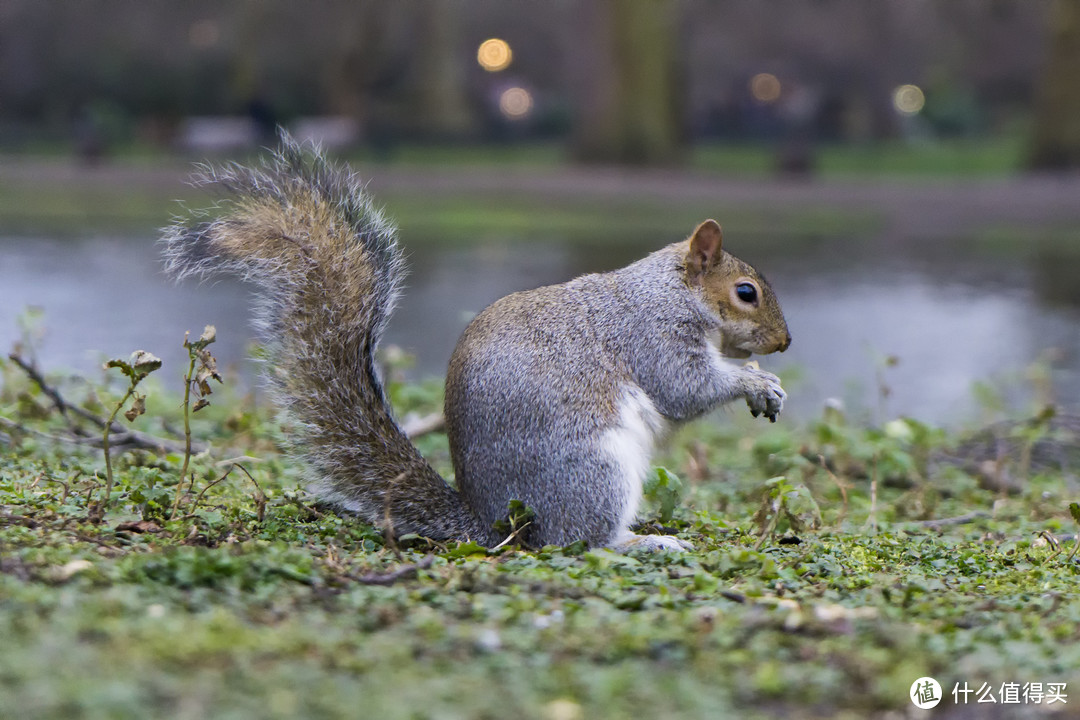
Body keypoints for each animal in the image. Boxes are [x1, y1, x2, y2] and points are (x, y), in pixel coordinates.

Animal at [166, 134, 794, 552]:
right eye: (745, 293)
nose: (785, 342)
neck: (671, 291)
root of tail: (492, 521)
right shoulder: (652, 333)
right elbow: (686, 386)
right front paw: (757, 381)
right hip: (593, 471)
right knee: (575, 540)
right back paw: (640, 542)